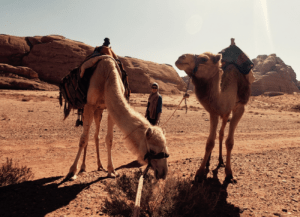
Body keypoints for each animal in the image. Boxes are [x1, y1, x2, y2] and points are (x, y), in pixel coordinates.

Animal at [175, 50, 254, 181]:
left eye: (204, 59)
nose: (180, 58)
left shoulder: (239, 108)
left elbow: (229, 142)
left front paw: (229, 173)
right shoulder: (214, 112)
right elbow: (210, 142)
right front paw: (200, 171)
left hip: (228, 113)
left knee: (221, 133)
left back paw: (221, 161)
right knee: (219, 134)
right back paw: (211, 161)